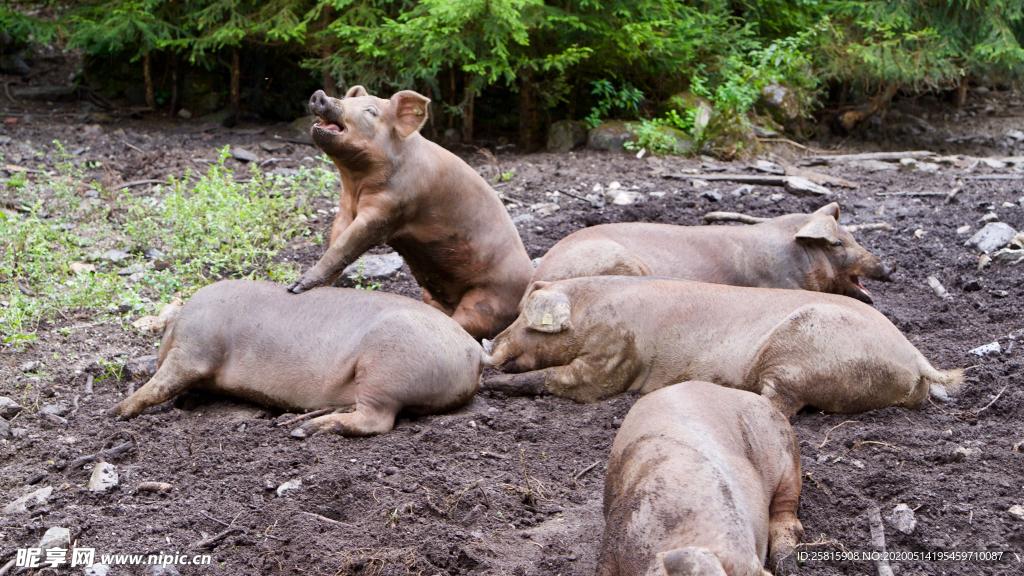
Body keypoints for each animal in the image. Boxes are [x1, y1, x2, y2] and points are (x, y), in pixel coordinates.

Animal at [110, 278, 485, 434]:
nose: (134, 369)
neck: (176, 327)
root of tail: (474, 351)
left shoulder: (196, 348)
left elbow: (163, 383)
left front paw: (115, 412)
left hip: (387, 368)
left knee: (377, 420)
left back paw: (309, 428)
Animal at [284, 87, 532, 338]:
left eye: (371, 111)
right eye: (346, 99)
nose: (320, 94)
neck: (356, 183)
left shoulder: (390, 209)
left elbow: (346, 245)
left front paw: (294, 288)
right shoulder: (345, 207)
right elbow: (336, 241)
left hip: (490, 297)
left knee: (469, 323)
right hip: (431, 295)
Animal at [483, 272, 962, 412]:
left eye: (525, 320)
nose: (492, 344)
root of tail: (914, 357)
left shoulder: (612, 357)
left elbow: (563, 381)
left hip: (799, 354)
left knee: (781, 403)